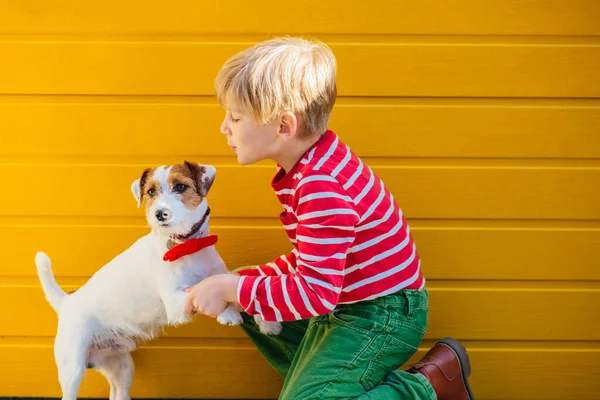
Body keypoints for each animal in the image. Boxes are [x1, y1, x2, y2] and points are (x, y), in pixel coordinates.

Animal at [35, 161, 282, 400]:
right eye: (151, 192)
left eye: (181, 186)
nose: (159, 213)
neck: (188, 246)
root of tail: (67, 302)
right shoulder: (174, 301)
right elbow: (201, 291)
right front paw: (228, 313)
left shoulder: (219, 276)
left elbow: (238, 284)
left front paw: (267, 321)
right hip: (72, 369)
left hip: (121, 366)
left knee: (119, 393)